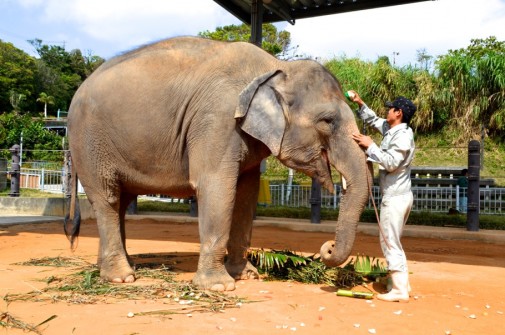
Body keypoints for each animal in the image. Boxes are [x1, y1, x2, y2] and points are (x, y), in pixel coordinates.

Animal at [65, 36, 372, 292]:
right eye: (327, 121)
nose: (327, 248)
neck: (275, 68)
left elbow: (246, 195)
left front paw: (247, 275)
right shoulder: (216, 121)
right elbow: (217, 187)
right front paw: (219, 286)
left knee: (120, 201)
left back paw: (118, 267)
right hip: (89, 144)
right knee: (107, 198)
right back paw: (121, 277)